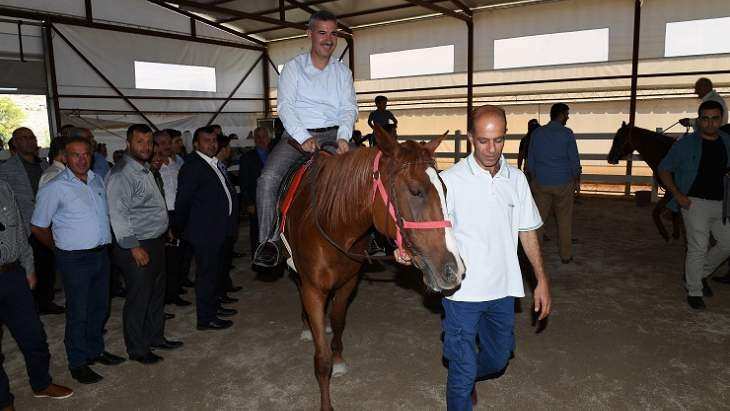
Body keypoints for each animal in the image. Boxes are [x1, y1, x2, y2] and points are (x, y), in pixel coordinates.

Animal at [282, 127, 464, 410]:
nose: (452, 270)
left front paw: (338, 358)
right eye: (415, 191)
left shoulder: (348, 283)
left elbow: (338, 320)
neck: (332, 225)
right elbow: (321, 360)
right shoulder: (314, 290)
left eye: (444, 189)